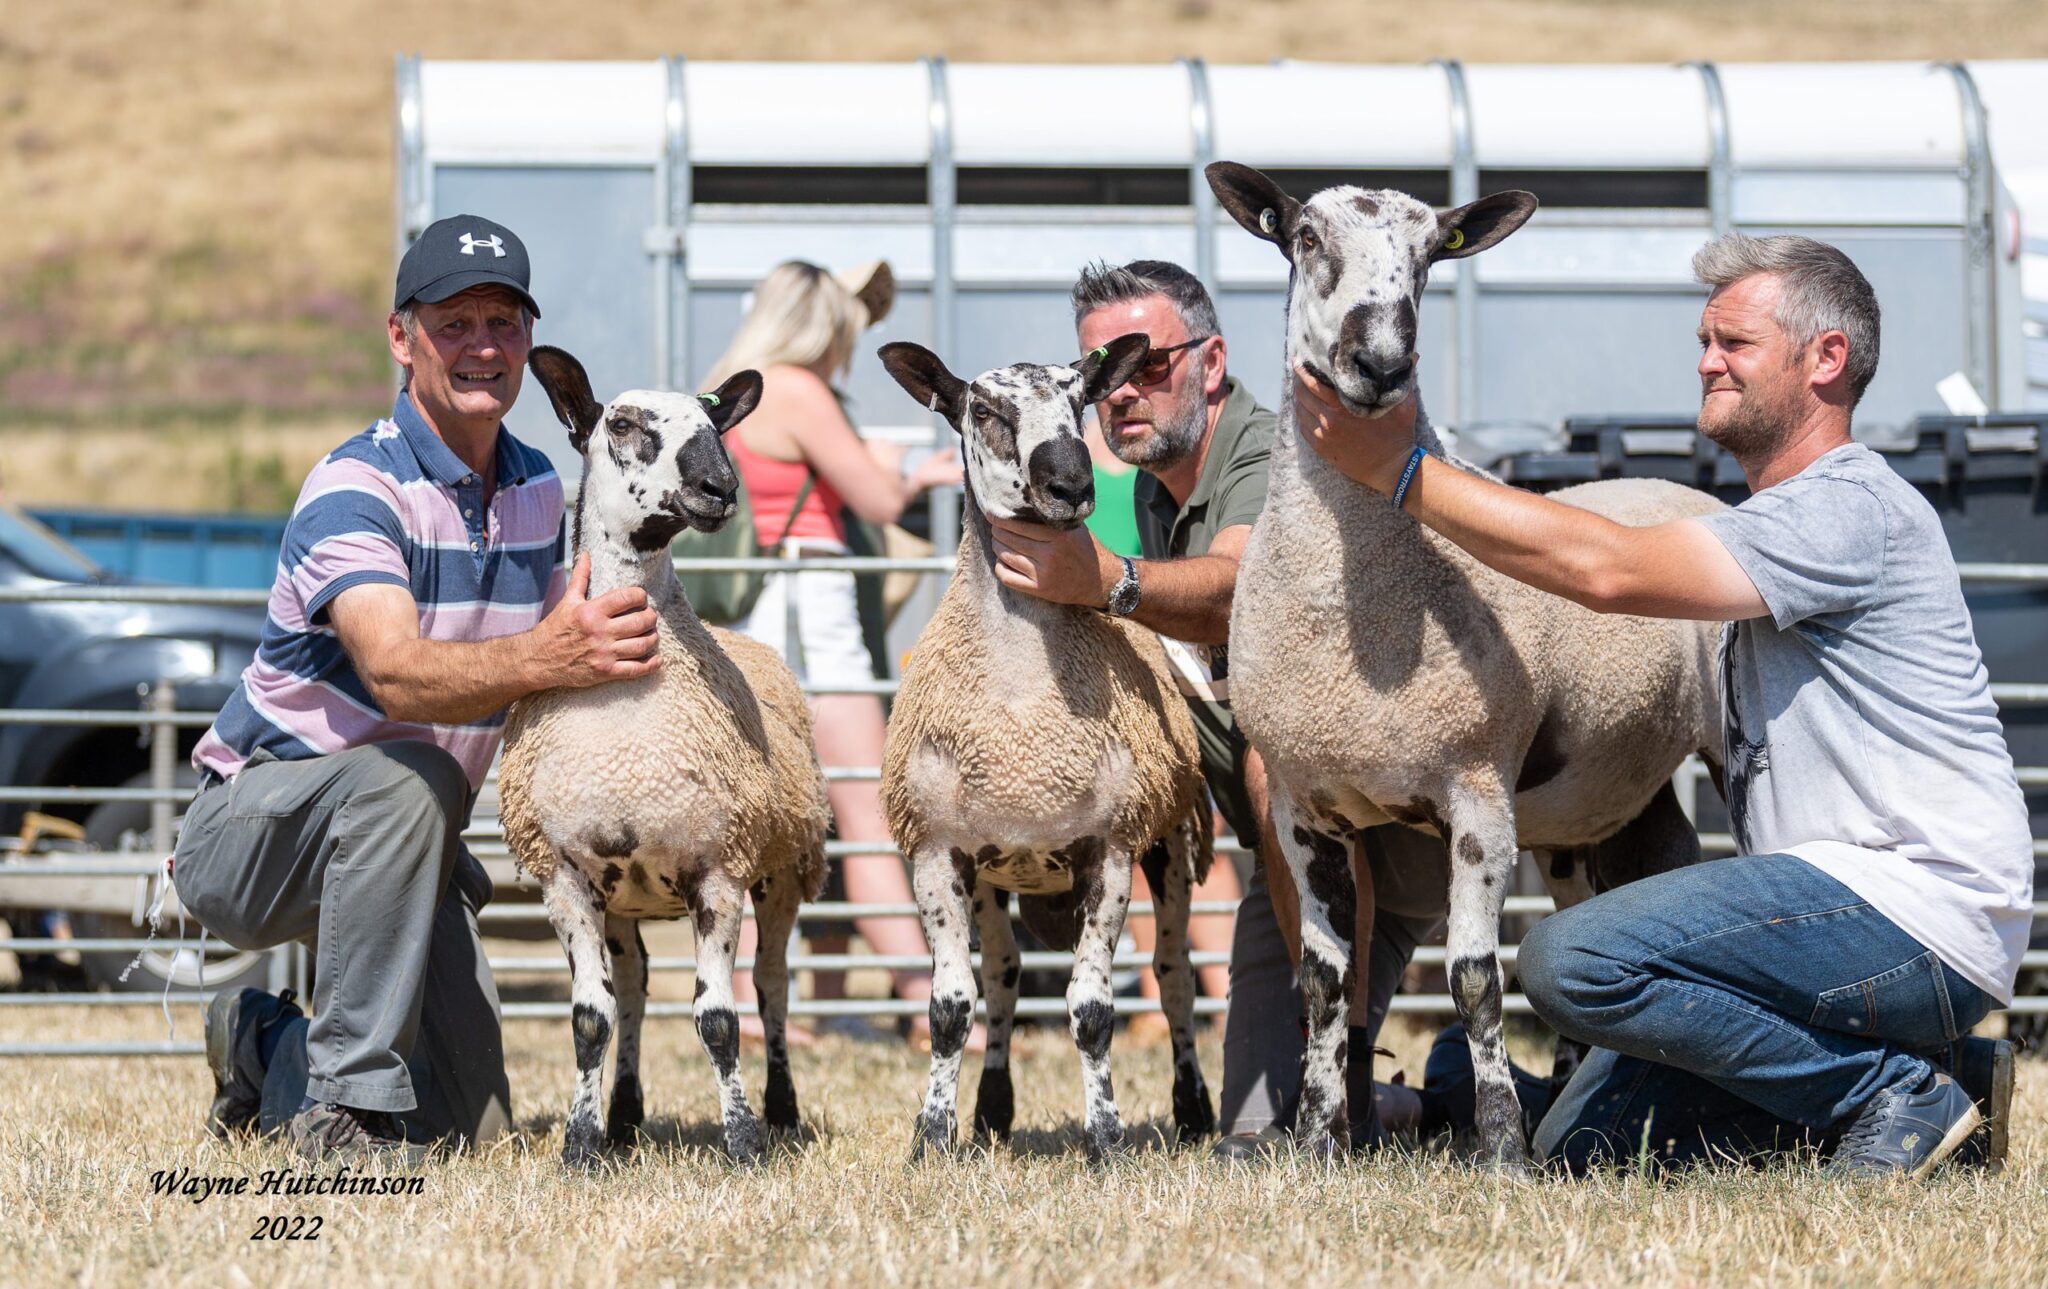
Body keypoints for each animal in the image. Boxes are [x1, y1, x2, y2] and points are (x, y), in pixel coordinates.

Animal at [499, 344, 827, 1163]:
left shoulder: (721, 870)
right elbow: (590, 1019)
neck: (626, 715)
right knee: (635, 988)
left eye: (716, 423)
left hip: (784, 868)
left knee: (772, 987)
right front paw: (580, 1147)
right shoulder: (564, 876)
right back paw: (623, 1117)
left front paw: (743, 1144)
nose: (721, 488)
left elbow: (719, 1019)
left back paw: (781, 1113)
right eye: (620, 423)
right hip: (622, 895)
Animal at [876, 336, 1212, 1163]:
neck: (1023, 705)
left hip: (1169, 842)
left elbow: (1092, 1010)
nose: (1072, 481)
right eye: (984, 409)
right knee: (1003, 974)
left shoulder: (1109, 850)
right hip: (993, 872)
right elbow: (950, 1005)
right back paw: (994, 1109)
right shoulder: (936, 848)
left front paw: (1108, 1139)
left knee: (1175, 976)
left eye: (1080, 399)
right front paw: (933, 1136)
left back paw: (1192, 1107)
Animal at [1204, 160, 1720, 1163]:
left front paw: (1502, 1149)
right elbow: (1325, 982)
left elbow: (1478, 978)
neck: (1356, 623)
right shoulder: (1304, 805)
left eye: (1431, 253)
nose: (1379, 363)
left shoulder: (1475, 788)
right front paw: (1317, 1141)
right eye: (1305, 236)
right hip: (1592, 806)